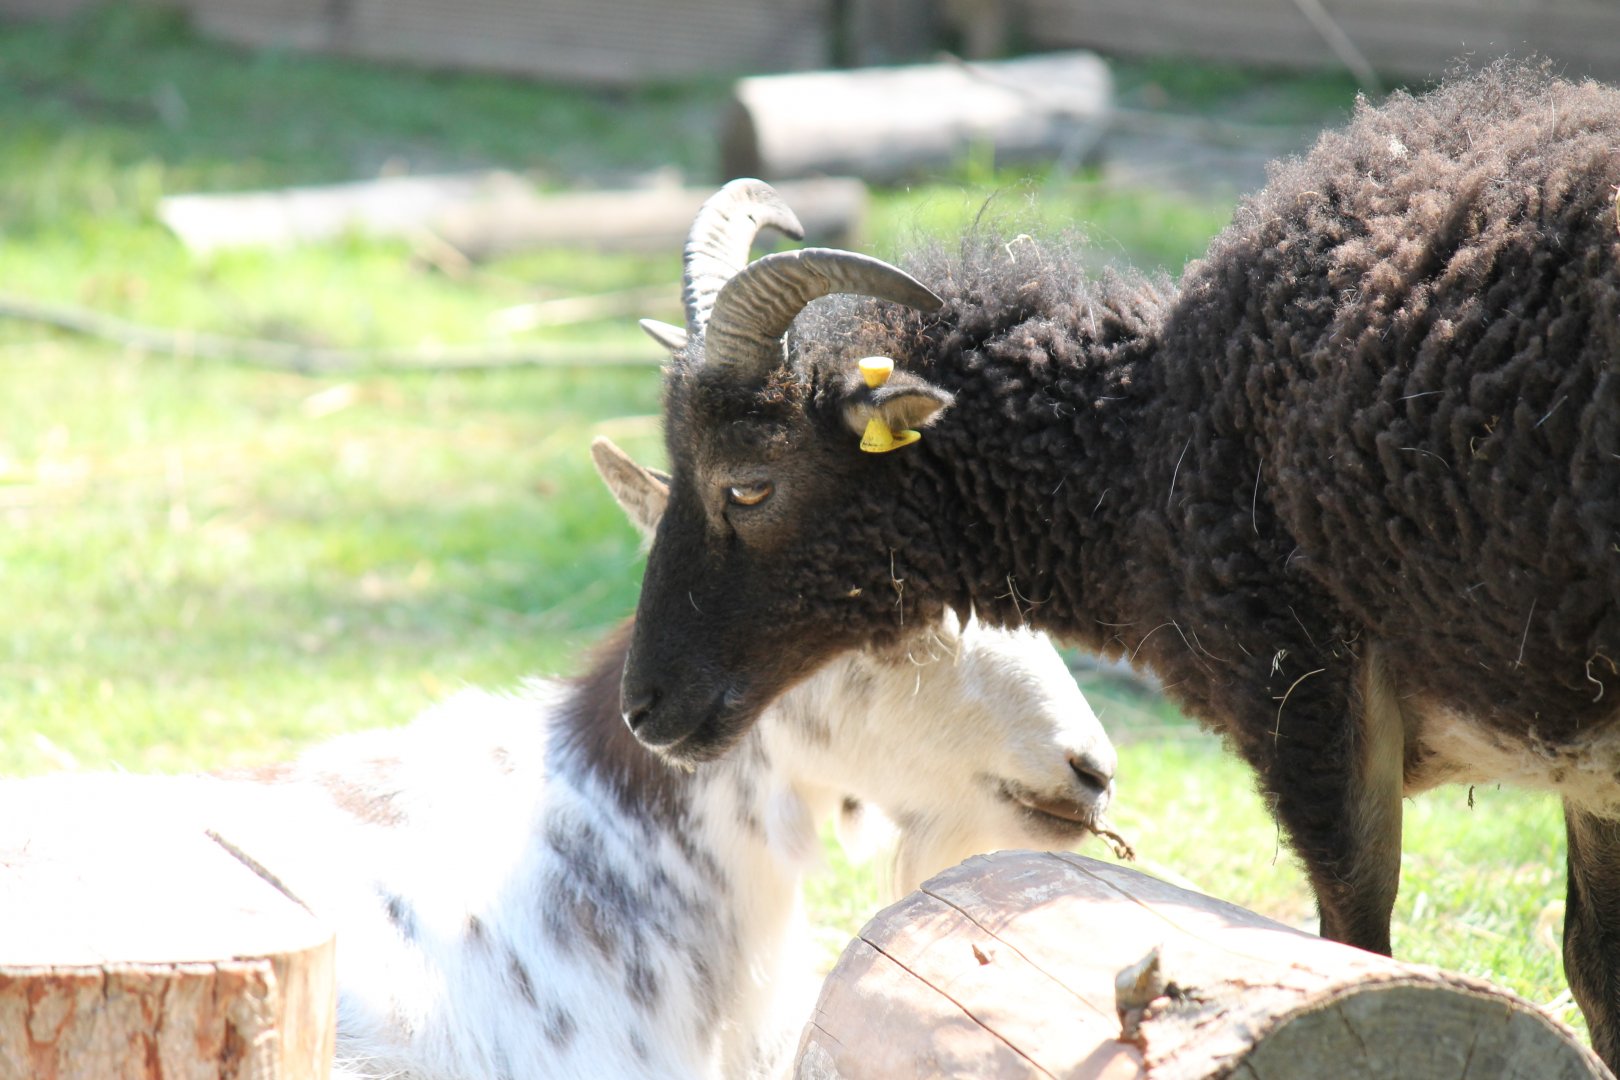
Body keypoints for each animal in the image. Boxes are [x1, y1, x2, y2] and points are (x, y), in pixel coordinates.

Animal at [616, 64, 1620, 1063]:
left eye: (748, 486)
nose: (643, 707)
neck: (1149, 448)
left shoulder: (1306, 689)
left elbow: (1358, 937)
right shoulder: (1589, 769)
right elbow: (1593, 971)